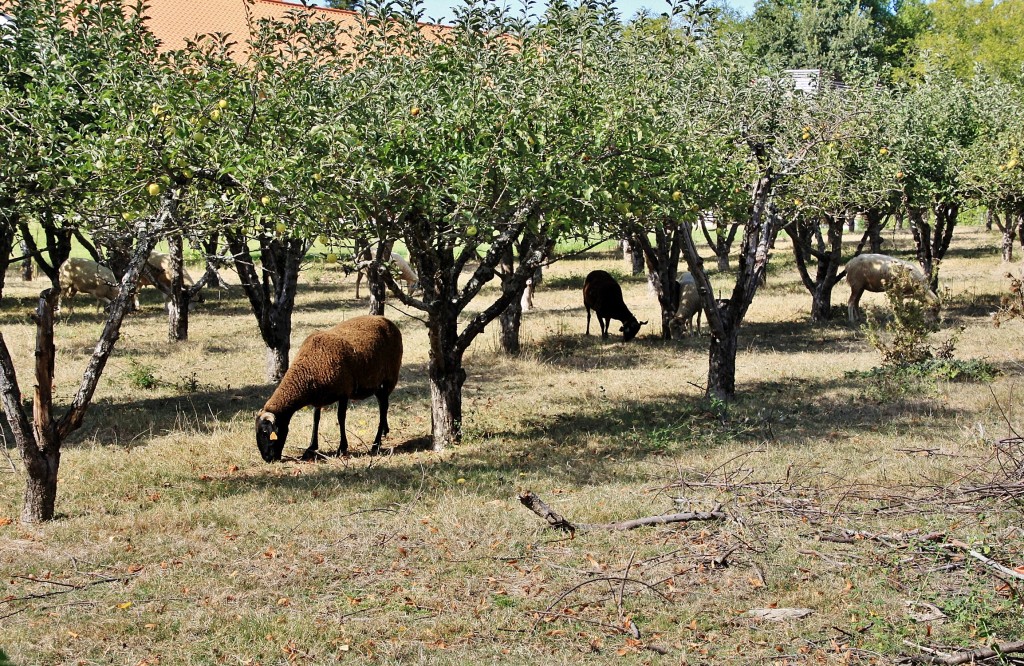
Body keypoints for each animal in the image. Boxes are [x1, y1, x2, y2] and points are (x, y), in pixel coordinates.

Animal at [253, 315, 401, 461]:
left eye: (265, 432)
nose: (267, 458)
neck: (309, 369)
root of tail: (386, 320)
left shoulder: (344, 392)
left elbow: (341, 418)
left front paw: (342, 448)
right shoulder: (318, 398)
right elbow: (316, 419)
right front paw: (311, 448)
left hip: (388, 378)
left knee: (383, 407)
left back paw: (376, 444)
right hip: (377, 384)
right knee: (382, 406)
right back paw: (384, 431)